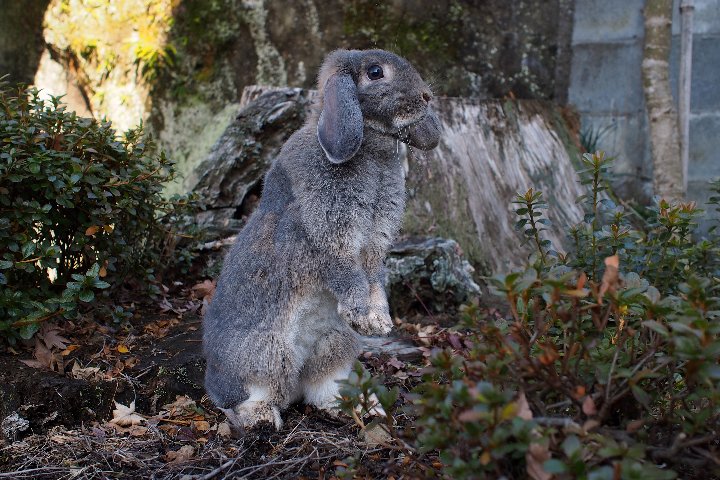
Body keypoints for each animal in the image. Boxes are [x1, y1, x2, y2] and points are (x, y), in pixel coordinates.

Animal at [201, 49, 438, 432]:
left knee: (320, 386)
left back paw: (360, 408)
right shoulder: (330, 234)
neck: (371, 150)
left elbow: (374, 277)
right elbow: (345, 273)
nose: (427, 96)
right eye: (375, 72)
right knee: (243, 399)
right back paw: (261, 418)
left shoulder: (374, 244)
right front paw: (362, 315)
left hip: (333, 345)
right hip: (266, 356)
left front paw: (379, 321)